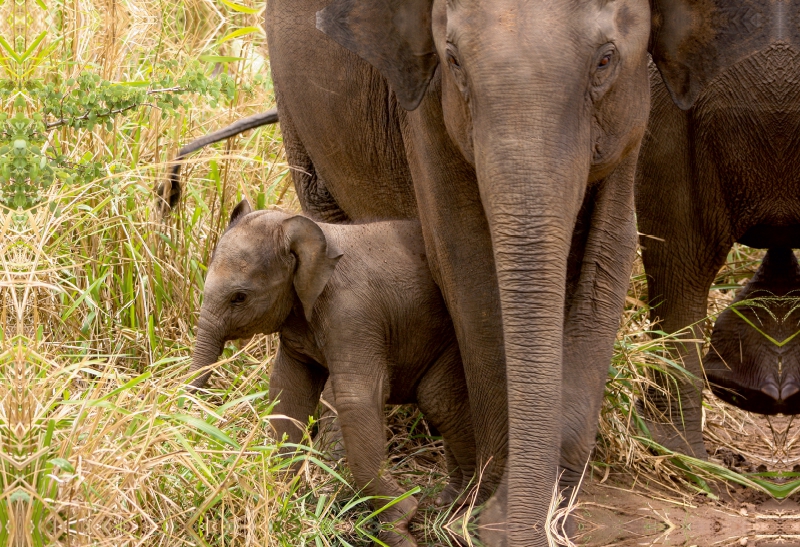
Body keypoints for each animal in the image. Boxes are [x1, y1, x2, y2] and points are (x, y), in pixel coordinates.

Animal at [188, 202, 476, 547]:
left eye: (239, 297)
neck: (313, 234)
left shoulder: (353, 313)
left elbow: (356, 398)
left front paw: (399, 522)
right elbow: (288, 394)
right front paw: (283, 500)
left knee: (438, 401)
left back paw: (463, 506)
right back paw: (448, 502)